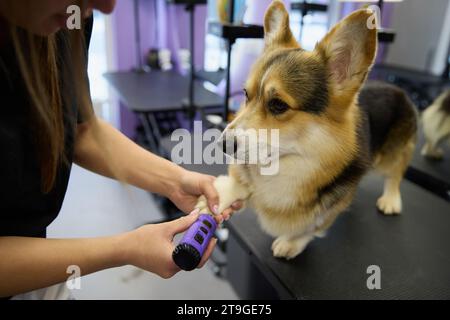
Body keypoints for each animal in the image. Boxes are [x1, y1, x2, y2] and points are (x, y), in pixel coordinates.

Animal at [197, 1, 418, 258]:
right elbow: (237, 184)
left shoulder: (327, 209)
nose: (222, 144)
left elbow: (313, 226)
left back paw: (391, 199)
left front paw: (291, 242)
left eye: (278, 105)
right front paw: (214, 200)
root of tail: (398, 88)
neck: (289, 165)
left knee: (396, 172)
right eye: (245, 95)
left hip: (390, 154)